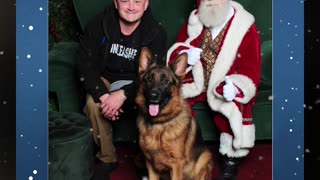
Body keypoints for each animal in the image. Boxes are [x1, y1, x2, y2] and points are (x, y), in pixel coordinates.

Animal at [135, 47, 212, 179]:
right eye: (149, 79)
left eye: (165, 81)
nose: (153, 96)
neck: (160, 124)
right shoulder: (150, 164)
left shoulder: (176, 164)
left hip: (204, 157)